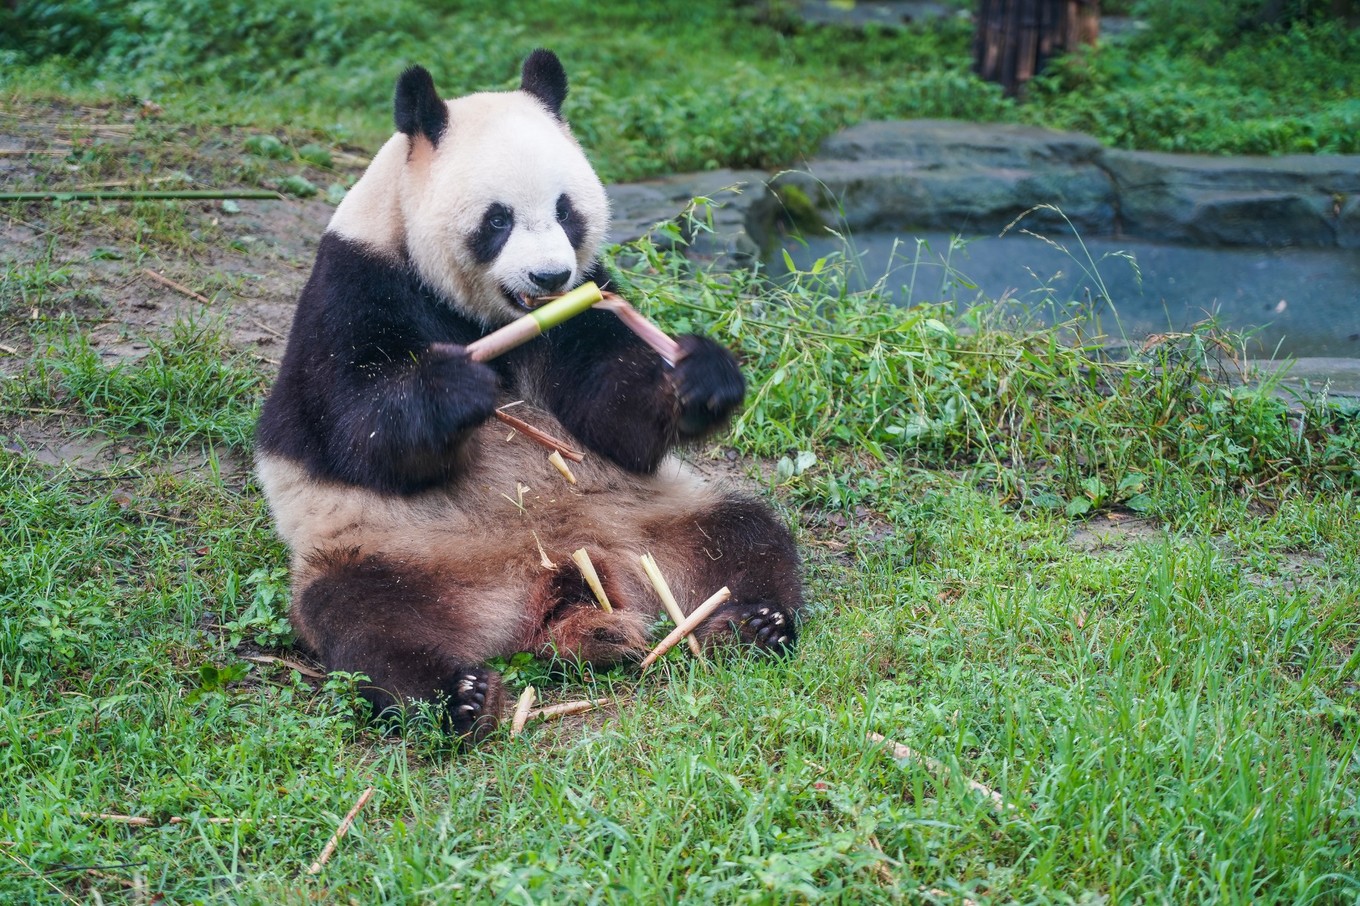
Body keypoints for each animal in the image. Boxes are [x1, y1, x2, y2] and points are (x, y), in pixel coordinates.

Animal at [255, 51, 805, 740]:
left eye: (567, 210)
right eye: (498, 219)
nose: (550, 276)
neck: (487, 315)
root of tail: (560, 580)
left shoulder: (585, 301)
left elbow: (612, 415)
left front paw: (698, 378)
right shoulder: (353, 287)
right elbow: (358, 432)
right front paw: (455, 387)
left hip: (655, 519)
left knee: (744, 535)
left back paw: (755, 621)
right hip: (396, 550)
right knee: (365, 620)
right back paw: (460, 695)